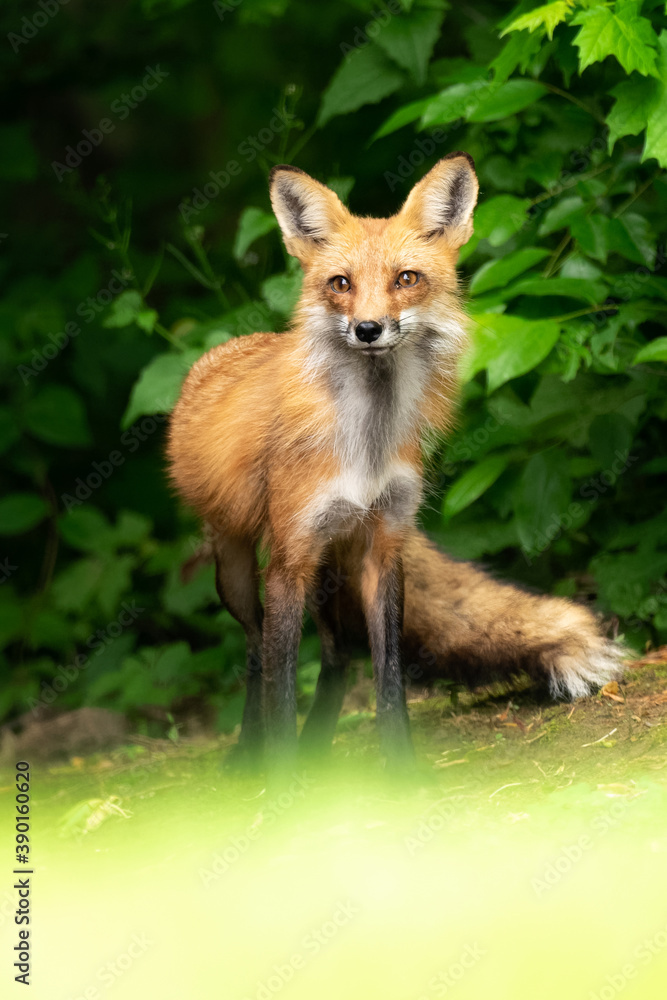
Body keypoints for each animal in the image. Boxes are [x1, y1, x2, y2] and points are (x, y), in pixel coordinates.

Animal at [168, 154, 623, 772]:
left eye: (406, 279)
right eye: (341, 284)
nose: (368, 329)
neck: (368, 441)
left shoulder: (385, 544)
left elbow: (389, 680)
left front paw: (402, 773)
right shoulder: (289, 558)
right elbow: (282, 684)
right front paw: (283, 781)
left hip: (333, 566)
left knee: (338, 655)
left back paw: (318, 749)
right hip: (238, 564)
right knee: (258, 652)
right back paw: (248, 755)